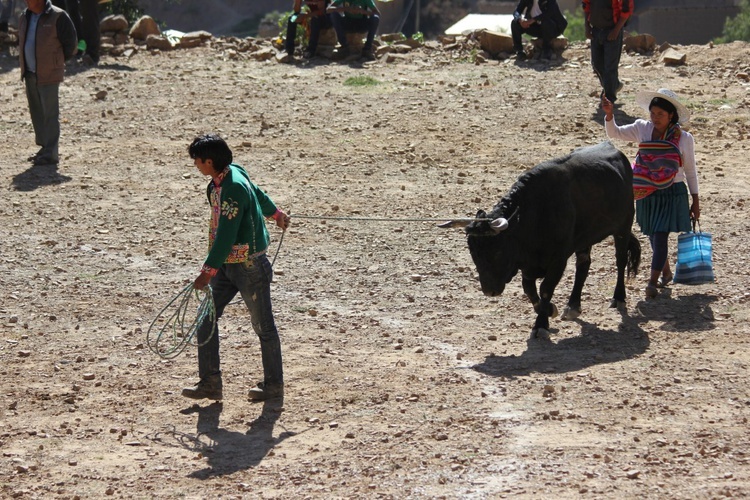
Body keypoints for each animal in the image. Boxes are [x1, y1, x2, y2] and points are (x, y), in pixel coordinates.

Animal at [444, 141, 644, 340]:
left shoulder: (558, 259)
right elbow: (528, 288)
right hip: (585, 239)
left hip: (624, 227)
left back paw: (618, 298)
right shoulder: (528, 264)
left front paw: (541, 325)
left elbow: (546, 288)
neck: (535, 214)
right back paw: (573, 305)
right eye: (473, 252)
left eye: (498, 251)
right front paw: (548, 310)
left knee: (620, 260)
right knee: (583, 264)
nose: (489, 290)